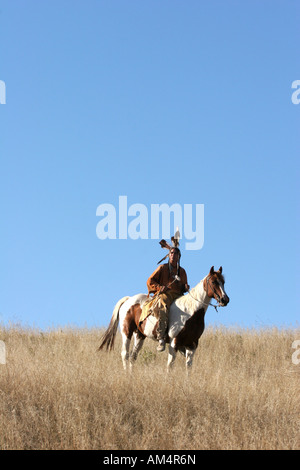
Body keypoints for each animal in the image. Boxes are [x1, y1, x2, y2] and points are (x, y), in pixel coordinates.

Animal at [98, 266, 230, 372]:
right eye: (213, 281)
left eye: (223, 282)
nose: (225, 299)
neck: (190, 313)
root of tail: (128, 299)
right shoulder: (174, 341)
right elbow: (170, 365)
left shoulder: (192, 345)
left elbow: (189, 367)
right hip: (127, 332)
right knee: (125, 354)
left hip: (140, 335)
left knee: (133, 356)